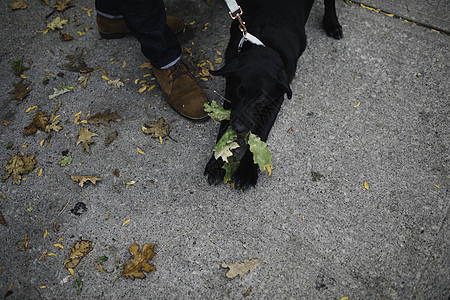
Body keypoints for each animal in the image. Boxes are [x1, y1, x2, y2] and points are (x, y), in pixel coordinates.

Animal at [206, 0, 342, 189]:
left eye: (261, 98)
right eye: (238, 92)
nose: (239, 128)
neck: (263, 45)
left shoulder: (277, 98)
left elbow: (262, 130)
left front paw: (247, 170)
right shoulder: (229, 95)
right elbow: (224, 127)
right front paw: (217, 161)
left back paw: (332, 23)